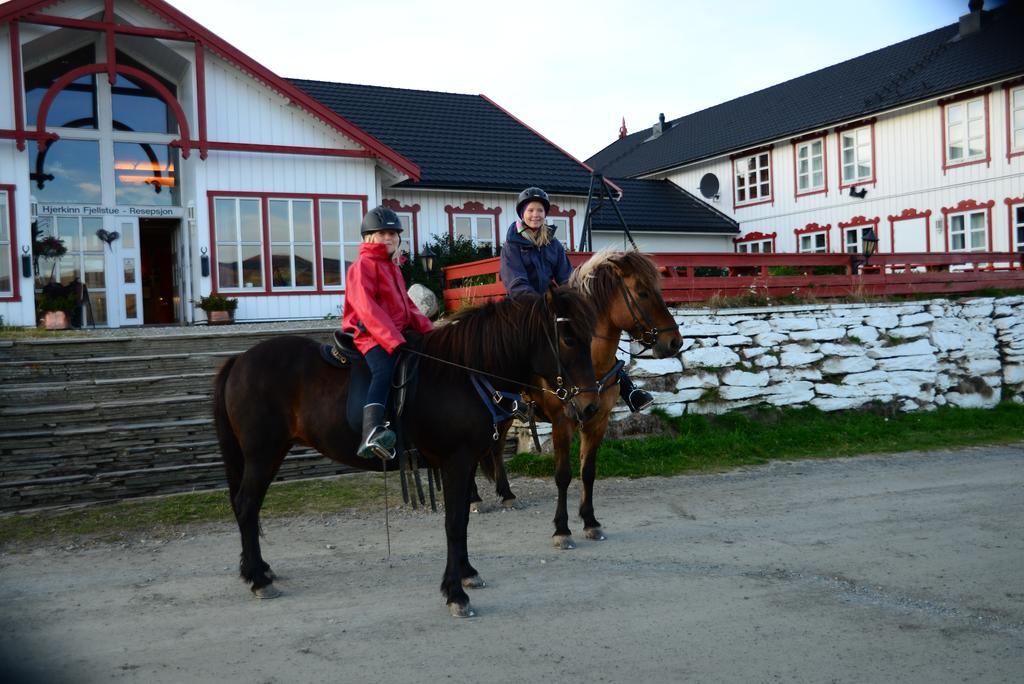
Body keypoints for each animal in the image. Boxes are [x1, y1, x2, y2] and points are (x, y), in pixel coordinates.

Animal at [215, 286, 598, 618]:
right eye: (568, 338)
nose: (591, 406)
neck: (462, 373)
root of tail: (239, 360)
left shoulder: (465, 464)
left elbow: (462, 520)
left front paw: (467, 572)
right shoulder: (457, 461)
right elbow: (454, 523)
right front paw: (455, 592)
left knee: (247, 507)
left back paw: (259, 570)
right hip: (263, 454)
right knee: (246, 505)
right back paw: (258, 579)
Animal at [475, 250, 684, 548]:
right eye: (642, 292)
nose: (674, 342)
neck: (587, 362)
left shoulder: (598, 420)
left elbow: (588, 471)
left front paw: (590, 521)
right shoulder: (562, 423)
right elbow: (563, 475)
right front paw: (562, 529)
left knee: (497, 447)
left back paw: (507, 494)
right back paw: (475, 499)